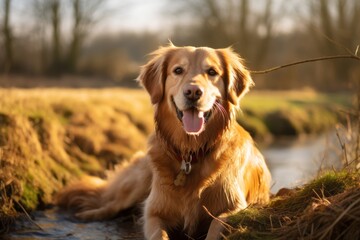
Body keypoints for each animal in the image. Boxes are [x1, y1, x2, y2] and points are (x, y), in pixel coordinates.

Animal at [55, 44, 270, 239]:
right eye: (178, 70)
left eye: (212, 72)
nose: (193, 92)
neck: (191, 152)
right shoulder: (154, 211)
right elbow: (158, 231)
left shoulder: (235, 207)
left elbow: (217, 225)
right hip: (138, 182)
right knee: (110, 204)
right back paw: (87, 215)